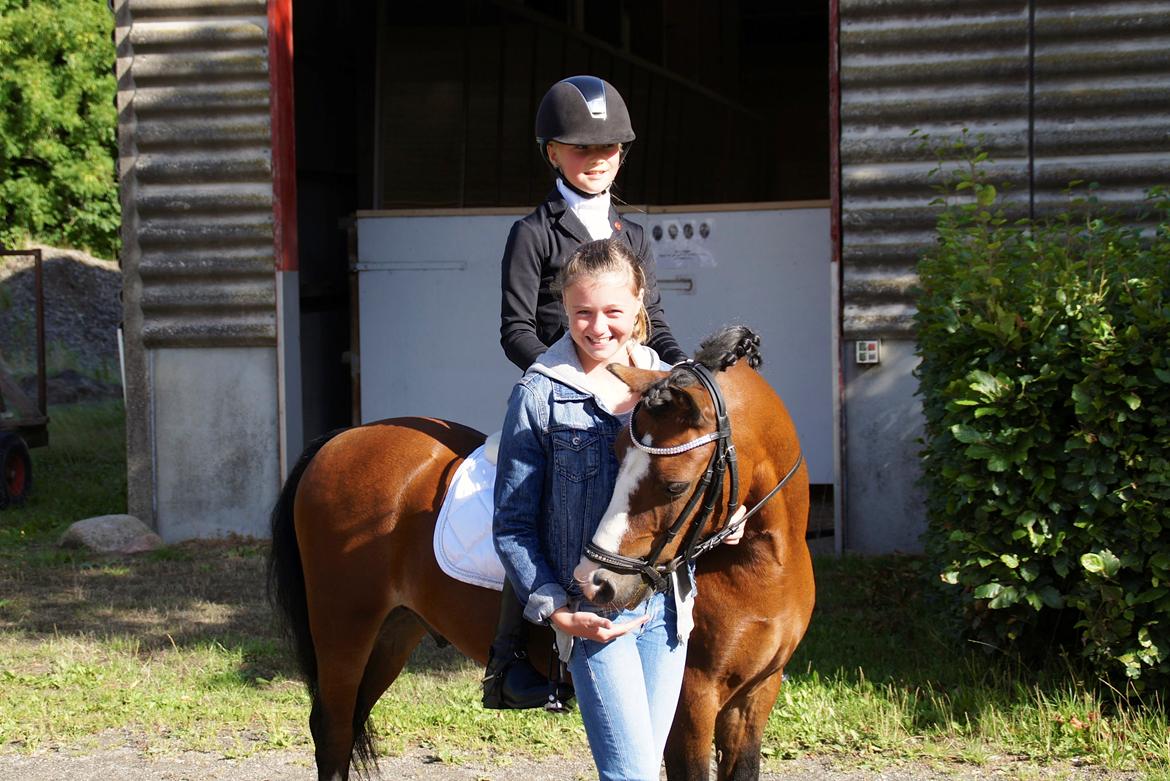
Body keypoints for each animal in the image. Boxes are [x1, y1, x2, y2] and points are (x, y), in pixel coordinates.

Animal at [268, 326, 815, 781]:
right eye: (616, 455)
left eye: (675, 484)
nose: (598, 583)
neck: (762, 566)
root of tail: (340, 438)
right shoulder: (694, 701)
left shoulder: (756, 694)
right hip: (343, 629)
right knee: (333, 731)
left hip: (393, 630)